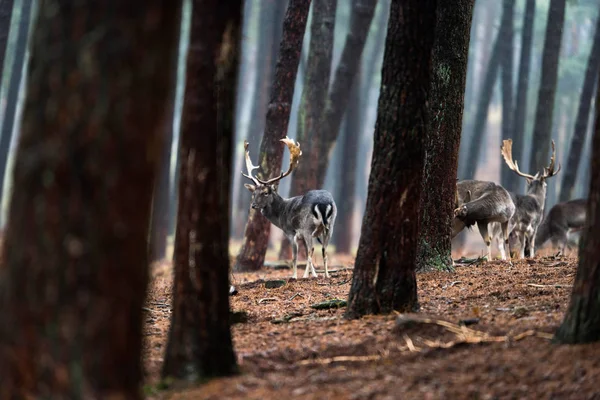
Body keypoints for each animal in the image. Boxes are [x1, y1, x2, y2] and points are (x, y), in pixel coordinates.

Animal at [243, 137, 338, 278]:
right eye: (253, 193)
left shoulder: (290, 232)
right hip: (329, 226)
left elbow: (295, 256)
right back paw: (326, 275)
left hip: (308, 227)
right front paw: (314, 275)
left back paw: (305, 276)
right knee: (324, 250)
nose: (253, 205)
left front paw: (294, 276)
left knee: (311, 251)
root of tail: (323, 202)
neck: (281, 214)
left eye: (265, 193)